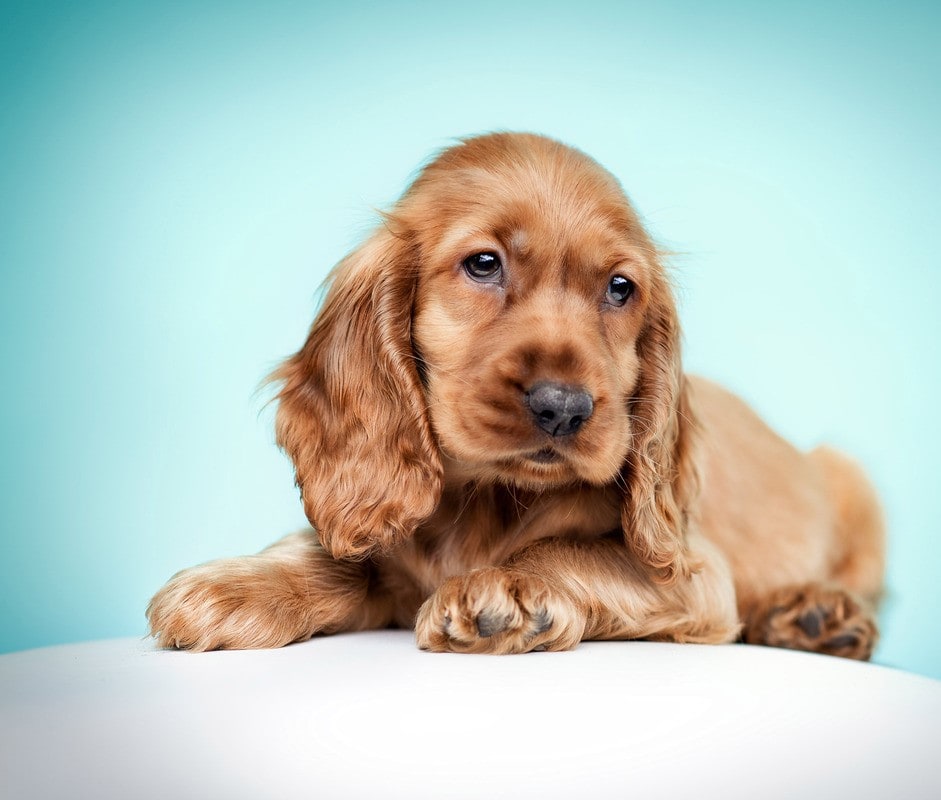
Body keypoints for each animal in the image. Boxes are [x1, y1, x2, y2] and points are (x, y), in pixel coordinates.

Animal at [147, 133, 880, 656]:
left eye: (620, 288)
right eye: (483, 264)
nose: (564, 407)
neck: (486, 499)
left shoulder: (696, 576)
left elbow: (575, 549)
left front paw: (507, 586)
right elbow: (333, 557)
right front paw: (236, 585)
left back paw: (813, 611)